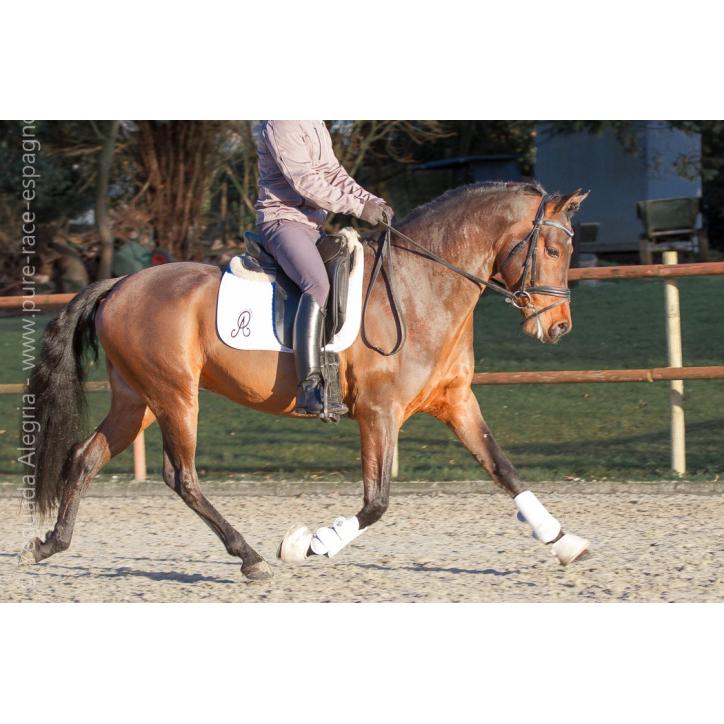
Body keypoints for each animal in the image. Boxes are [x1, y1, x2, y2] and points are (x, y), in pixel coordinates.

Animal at [20, 181, 589, 581]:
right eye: (553, 252)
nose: (560, 327)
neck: (420, 286)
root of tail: (120, 284)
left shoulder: (456, 402)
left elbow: (504, 469)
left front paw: (563, 541)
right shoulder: (378, 413)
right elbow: (377, 502)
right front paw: (309, 544)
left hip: (136, 400)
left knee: (85, 457)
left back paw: (50, 543)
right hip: (174, 396)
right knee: (181, 477)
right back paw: (249, 557)